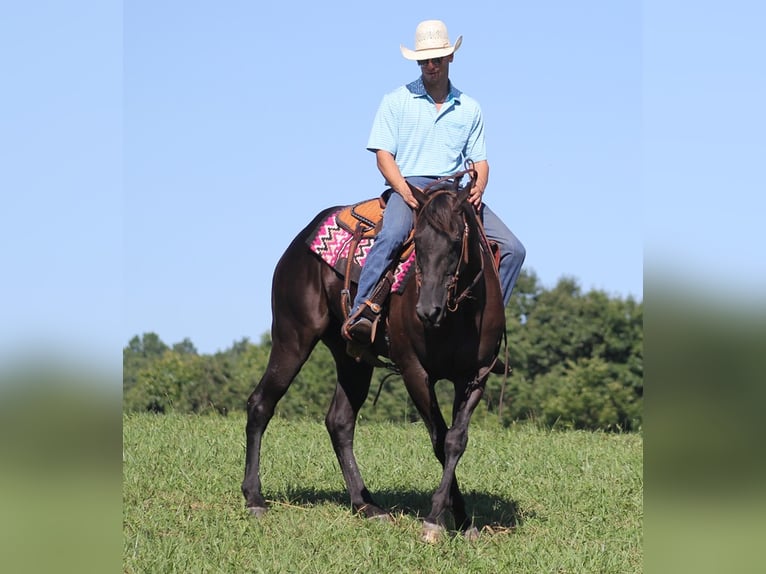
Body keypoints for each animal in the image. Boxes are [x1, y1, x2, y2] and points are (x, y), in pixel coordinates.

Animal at [243, 177, 508, 544]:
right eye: (417, 242)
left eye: (457, 242)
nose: (427, 310)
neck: (459, 315)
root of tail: (301, 240)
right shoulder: (414, 371)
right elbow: (439, 440)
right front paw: (434, 521)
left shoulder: (474, 376)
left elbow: (455, 440)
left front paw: (464, 520)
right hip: (292, 338)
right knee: (261, 404)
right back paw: (254, 499)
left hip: (353, 360)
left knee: (339, 422)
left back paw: (367, 506)